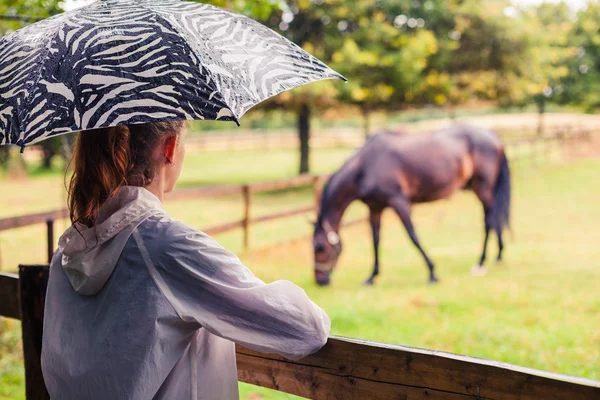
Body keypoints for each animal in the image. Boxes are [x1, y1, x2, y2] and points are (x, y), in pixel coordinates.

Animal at [314, 124, 510, 284]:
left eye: (320, 248)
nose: (320, 281)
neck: (365, 167)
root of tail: (494, 136)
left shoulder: (399, 202)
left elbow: (412, 235)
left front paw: (432, 272)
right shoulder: (375, 207)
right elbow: (375, 240)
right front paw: (371, 276)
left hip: (483, 189)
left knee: (489, 221)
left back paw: (481, 262)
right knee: (493, 219)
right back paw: (499, 255)